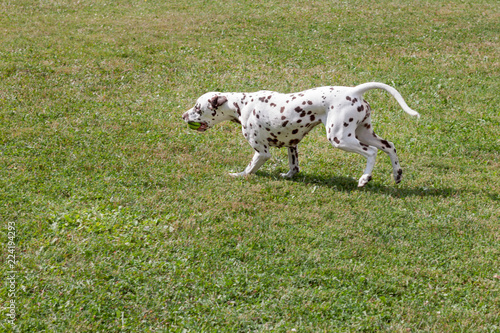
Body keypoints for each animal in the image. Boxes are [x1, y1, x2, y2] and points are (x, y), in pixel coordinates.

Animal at [182, 82, 420, 187]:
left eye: (197, 107)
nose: (183, 116)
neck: (242, 104)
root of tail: (354, 91)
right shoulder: (292, 144)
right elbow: (294, 167)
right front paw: (288, 176)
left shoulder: (261, 152)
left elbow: (249, 169)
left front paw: (238, 175)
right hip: (364, 133)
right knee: (389, 146)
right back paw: (397, 174)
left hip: (340, 138)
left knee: (371, 152)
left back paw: (364, 178)